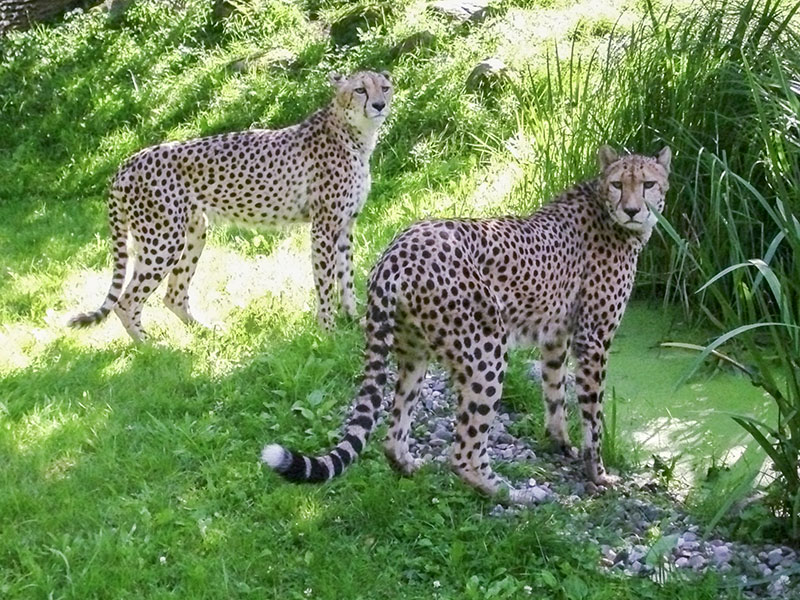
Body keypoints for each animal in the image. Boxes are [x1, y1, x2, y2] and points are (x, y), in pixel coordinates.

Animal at [68, 70, 393, 341]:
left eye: (385, 87)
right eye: (360, 89)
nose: (379, 105)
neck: (353, 133)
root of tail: (127, 162)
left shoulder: (345, 225)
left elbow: (346, 276)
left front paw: (354, 319)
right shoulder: (323, 228)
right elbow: (325, 282)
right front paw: (328, 330)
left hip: (194, 232)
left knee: (174, 294)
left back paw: (206, 332)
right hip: (163, 240)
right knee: (126, 301)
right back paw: (151, 348)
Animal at [262, 144, 671, 504]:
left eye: (648, 184)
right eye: (619, 184)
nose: (632, 210)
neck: (603, 206)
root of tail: (397, 248)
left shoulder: (555, 337)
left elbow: (555, 394)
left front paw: (561, 443)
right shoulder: (594, 339)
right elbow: (593, 415)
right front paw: (598, 472)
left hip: (415, 352)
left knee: (393, 435)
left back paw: (413, 469)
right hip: (486, 351)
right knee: (463, 454)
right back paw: (512, 494)